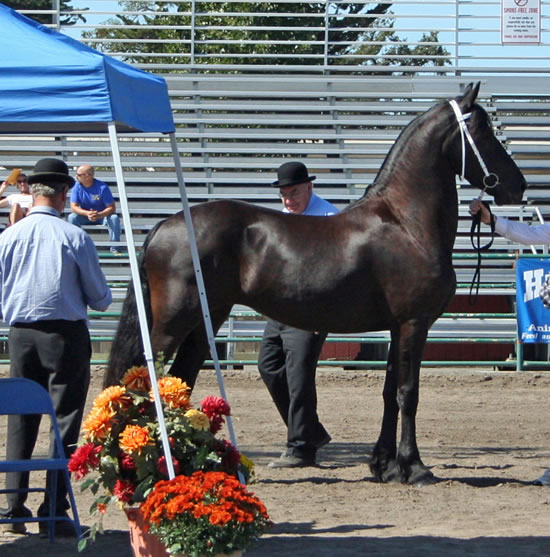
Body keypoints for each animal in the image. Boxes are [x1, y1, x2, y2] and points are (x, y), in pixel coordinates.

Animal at [106, 81, 528, 482]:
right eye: (482, 131)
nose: (519, 186)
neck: (405, 223)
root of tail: (165, 224)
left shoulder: (397, 327)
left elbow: (390, 392)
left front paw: (385, 466)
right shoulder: (414, 324)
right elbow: (409, 394)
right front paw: (416, 468)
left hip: (204, 320)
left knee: (180, 379)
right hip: (172, 324)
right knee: (147, 381)